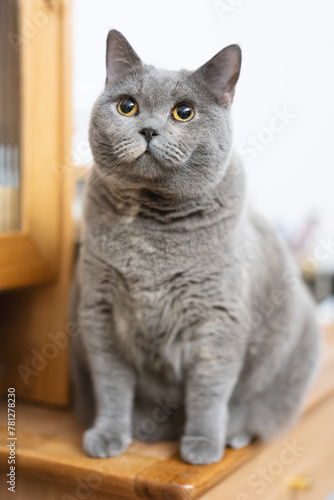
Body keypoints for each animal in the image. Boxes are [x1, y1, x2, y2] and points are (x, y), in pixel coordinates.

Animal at [72, 31, 322, 464]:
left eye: (184, 112)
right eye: (127, 106)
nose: (149, 130)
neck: (153, 230)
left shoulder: (217, 319)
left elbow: (209, 390)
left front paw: (202, 444)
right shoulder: (99, 311)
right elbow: (112, 384)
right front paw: (108, 436)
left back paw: (233, 436)